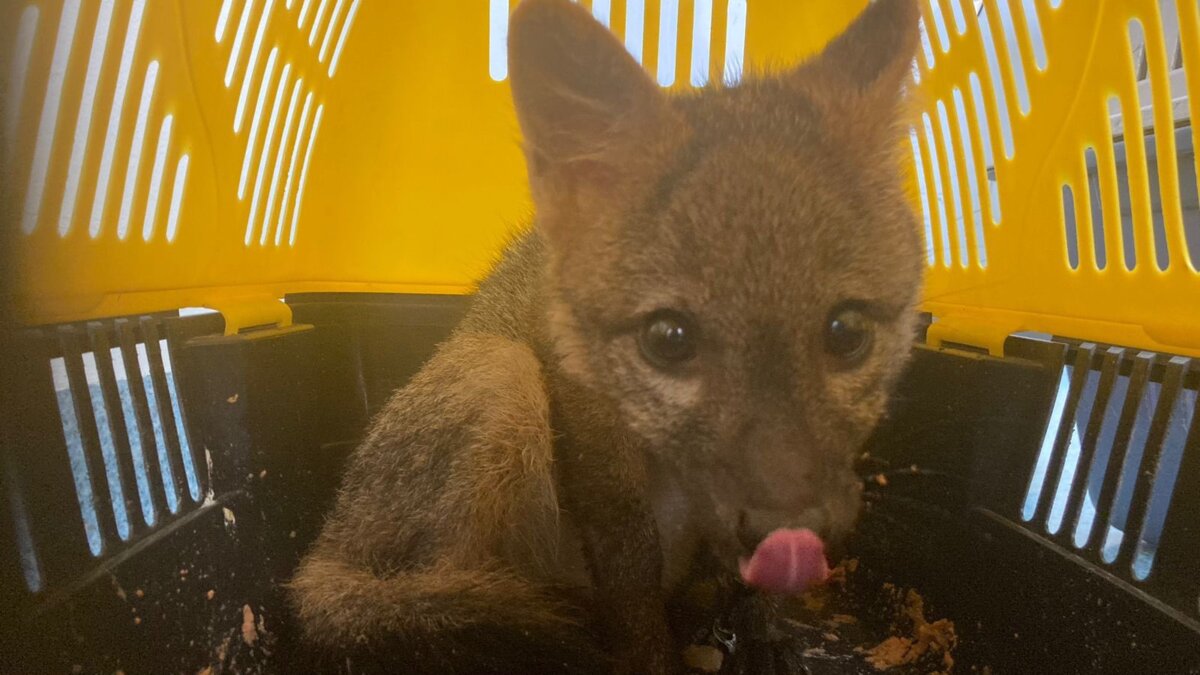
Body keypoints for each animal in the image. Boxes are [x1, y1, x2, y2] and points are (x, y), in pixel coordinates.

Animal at [288, 0, 923, 672]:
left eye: (846, 332)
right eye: (669, 339)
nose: (788, 529)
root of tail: (319, 556)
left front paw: (764, 628)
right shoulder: (600, 451)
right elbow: (631, 571)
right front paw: (653, 655)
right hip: (502, 380)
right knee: (436, 597)